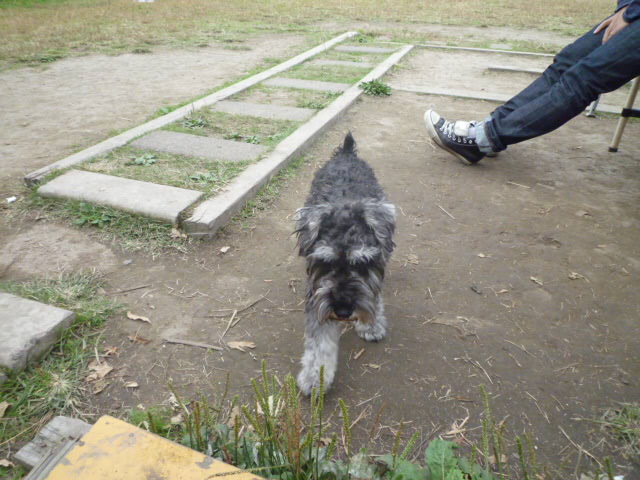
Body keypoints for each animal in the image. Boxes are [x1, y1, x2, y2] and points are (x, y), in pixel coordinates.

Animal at [294, 132, 396, 395]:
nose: (342, 310)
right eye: (324, 262)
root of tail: (346, 152)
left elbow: (374, 295)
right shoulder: (316, 291)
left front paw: (371, 325)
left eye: (361, 263)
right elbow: (319, 341)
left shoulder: (376, 268)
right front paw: (315, 376)